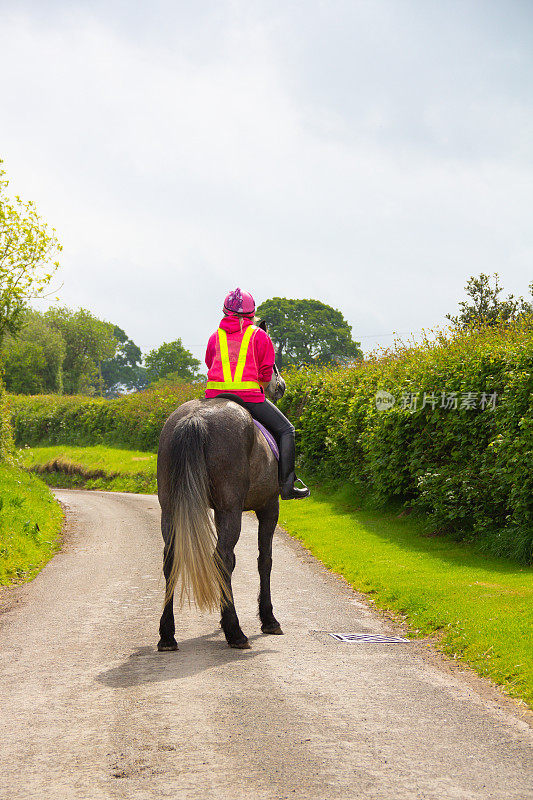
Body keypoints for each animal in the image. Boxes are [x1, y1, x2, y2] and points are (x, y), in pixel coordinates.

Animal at [155, 362, 284, 648]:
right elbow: (265, 560)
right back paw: (235, 632)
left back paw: (167, 634)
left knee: (171, 557)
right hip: (231, 510)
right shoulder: (269, 507)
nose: (280, 386)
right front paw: (268, 619)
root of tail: (196, 418)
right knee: (221, 557)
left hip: (170, 509)